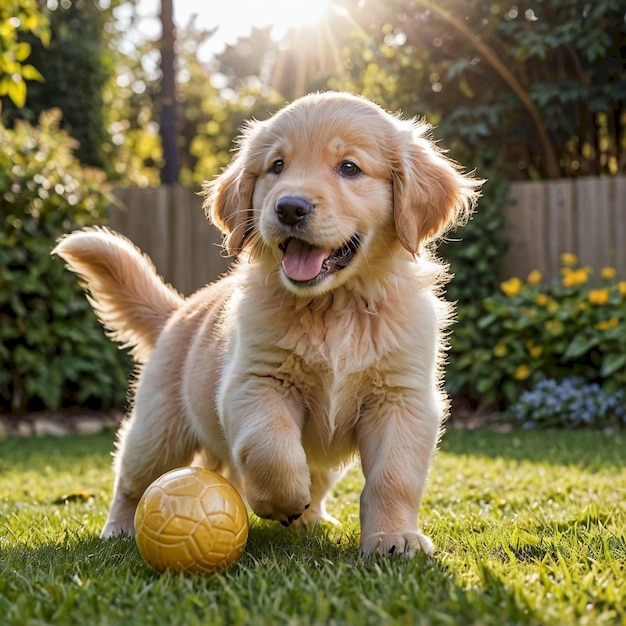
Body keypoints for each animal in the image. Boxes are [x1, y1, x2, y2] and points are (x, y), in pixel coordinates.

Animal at [54, 91, 478, 556]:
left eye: (349, 168)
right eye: (277, 166)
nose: (290, 207)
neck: (335, 306)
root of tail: (179, 310)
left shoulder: (401, 398)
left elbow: (394, 476)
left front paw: (393, 538)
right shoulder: (254, 382)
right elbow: (269, 448)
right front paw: (279, 500)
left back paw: (311, 519)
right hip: (158, 427)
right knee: (133, 477)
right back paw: (119, 527)